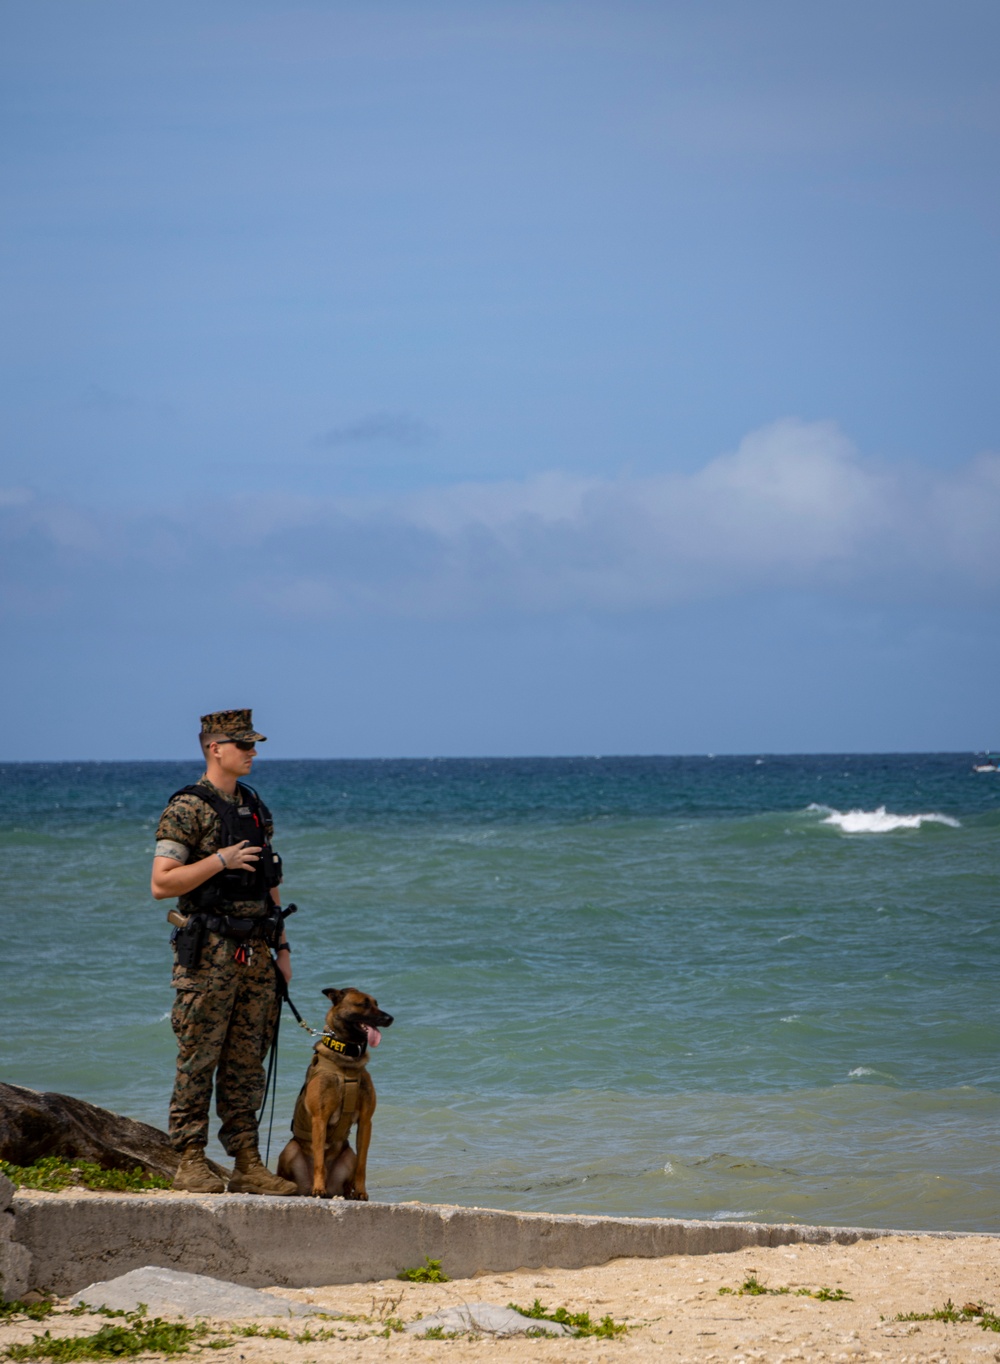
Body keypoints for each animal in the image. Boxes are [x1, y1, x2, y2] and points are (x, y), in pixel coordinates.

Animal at [278, 987, 395, 1200]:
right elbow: (319, 1160)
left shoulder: (366, 1122)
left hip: (349, 1155)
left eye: (376, 1003)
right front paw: (319, 1188)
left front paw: (361, 1191)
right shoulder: (320, 1118)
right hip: (290, 1149)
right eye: (364, 1004)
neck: (346, 1059)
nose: (390, 1018)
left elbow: (362, 1164)